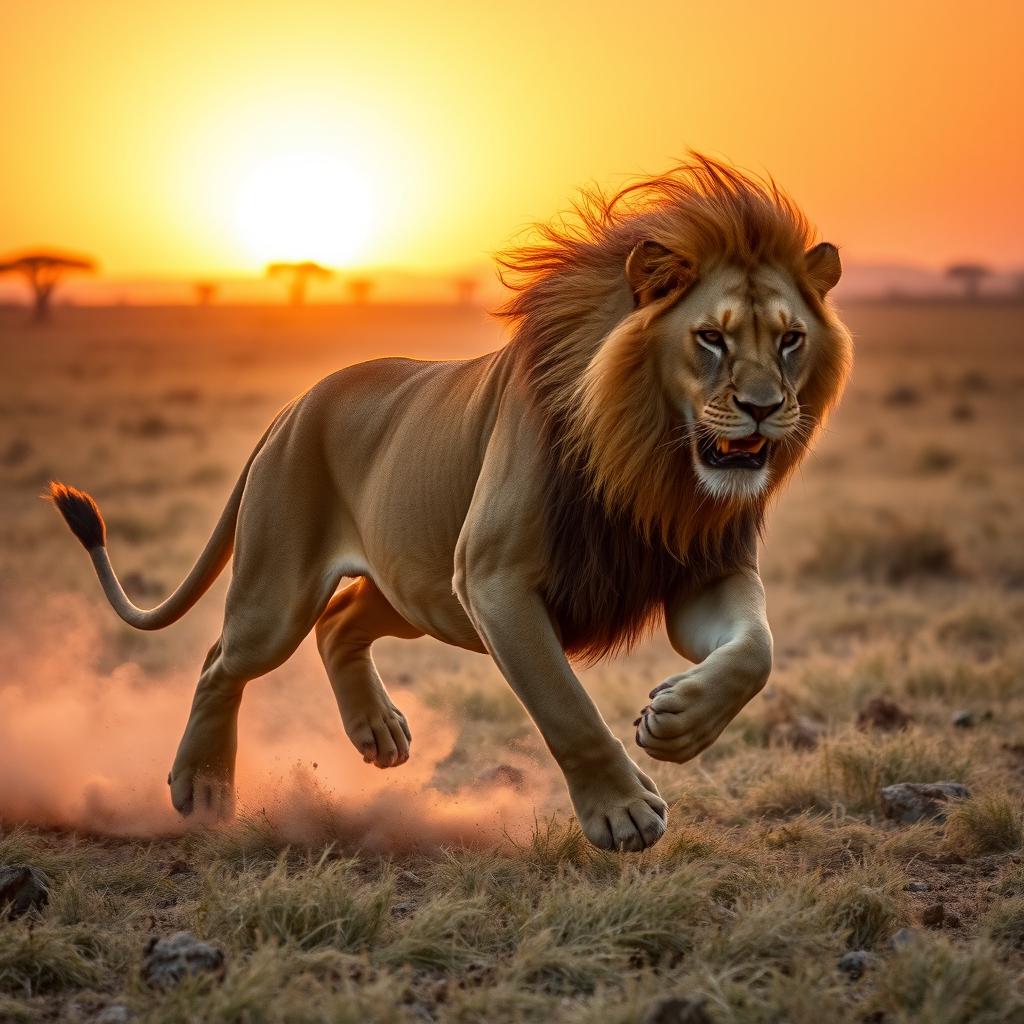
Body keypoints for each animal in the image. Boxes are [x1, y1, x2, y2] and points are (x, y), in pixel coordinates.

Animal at [50, 155, 851, 852]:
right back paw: (204, 789)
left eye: (790, 340)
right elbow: (565, 704)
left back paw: (377, 734)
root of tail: (292, 409)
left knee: (338, 624)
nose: (763, 409)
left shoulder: (704, 574)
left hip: (418, 592)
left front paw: (679, 723)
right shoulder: (495, 580)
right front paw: (623, 812)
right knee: (222, 661)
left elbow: (755, 650)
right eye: (710, 337)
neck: (655, 467)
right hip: (287, 592)